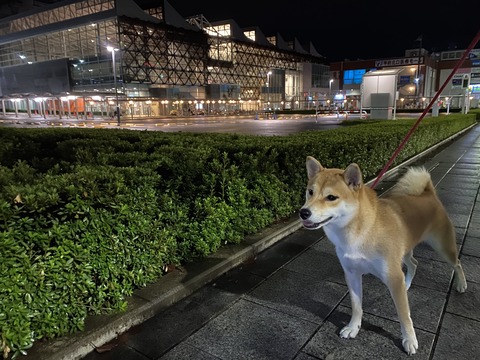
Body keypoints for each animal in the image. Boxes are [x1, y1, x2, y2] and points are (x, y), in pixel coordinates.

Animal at [298, 157, 466, 354]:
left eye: (331, 197)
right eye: (310, 192)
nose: (303, 212)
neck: (359, 231)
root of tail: (428, 194)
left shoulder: (393, 276)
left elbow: (404, 315)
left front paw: (409, 340)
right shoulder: (352, 273)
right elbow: (356, 306)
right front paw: (353, 327)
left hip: (442, 247)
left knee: (457, 263)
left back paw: (461, 284)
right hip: (404, 250)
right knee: (414, 263)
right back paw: (407, 284)